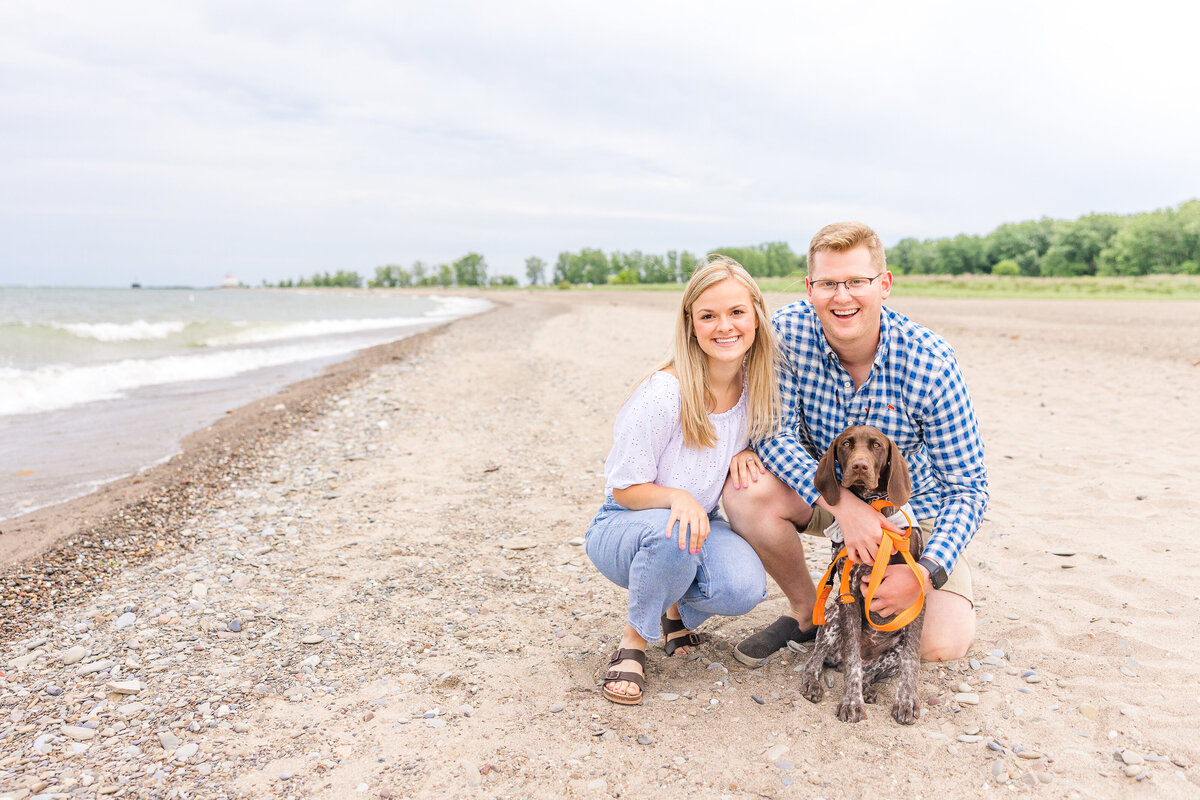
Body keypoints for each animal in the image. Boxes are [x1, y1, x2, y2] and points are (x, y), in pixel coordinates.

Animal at [801, 424, 921, 724]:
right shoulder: (849, 592)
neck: (872, 504)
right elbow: (853, 660)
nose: (859, 466)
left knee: (871, 671)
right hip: (832, 619)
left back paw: (868, 688)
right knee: (818, 660)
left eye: (877, 445)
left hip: (892, 651)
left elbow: (911, 660)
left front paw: (906, 700)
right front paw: (851, 702)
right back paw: (813, 683)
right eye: (846, 444)